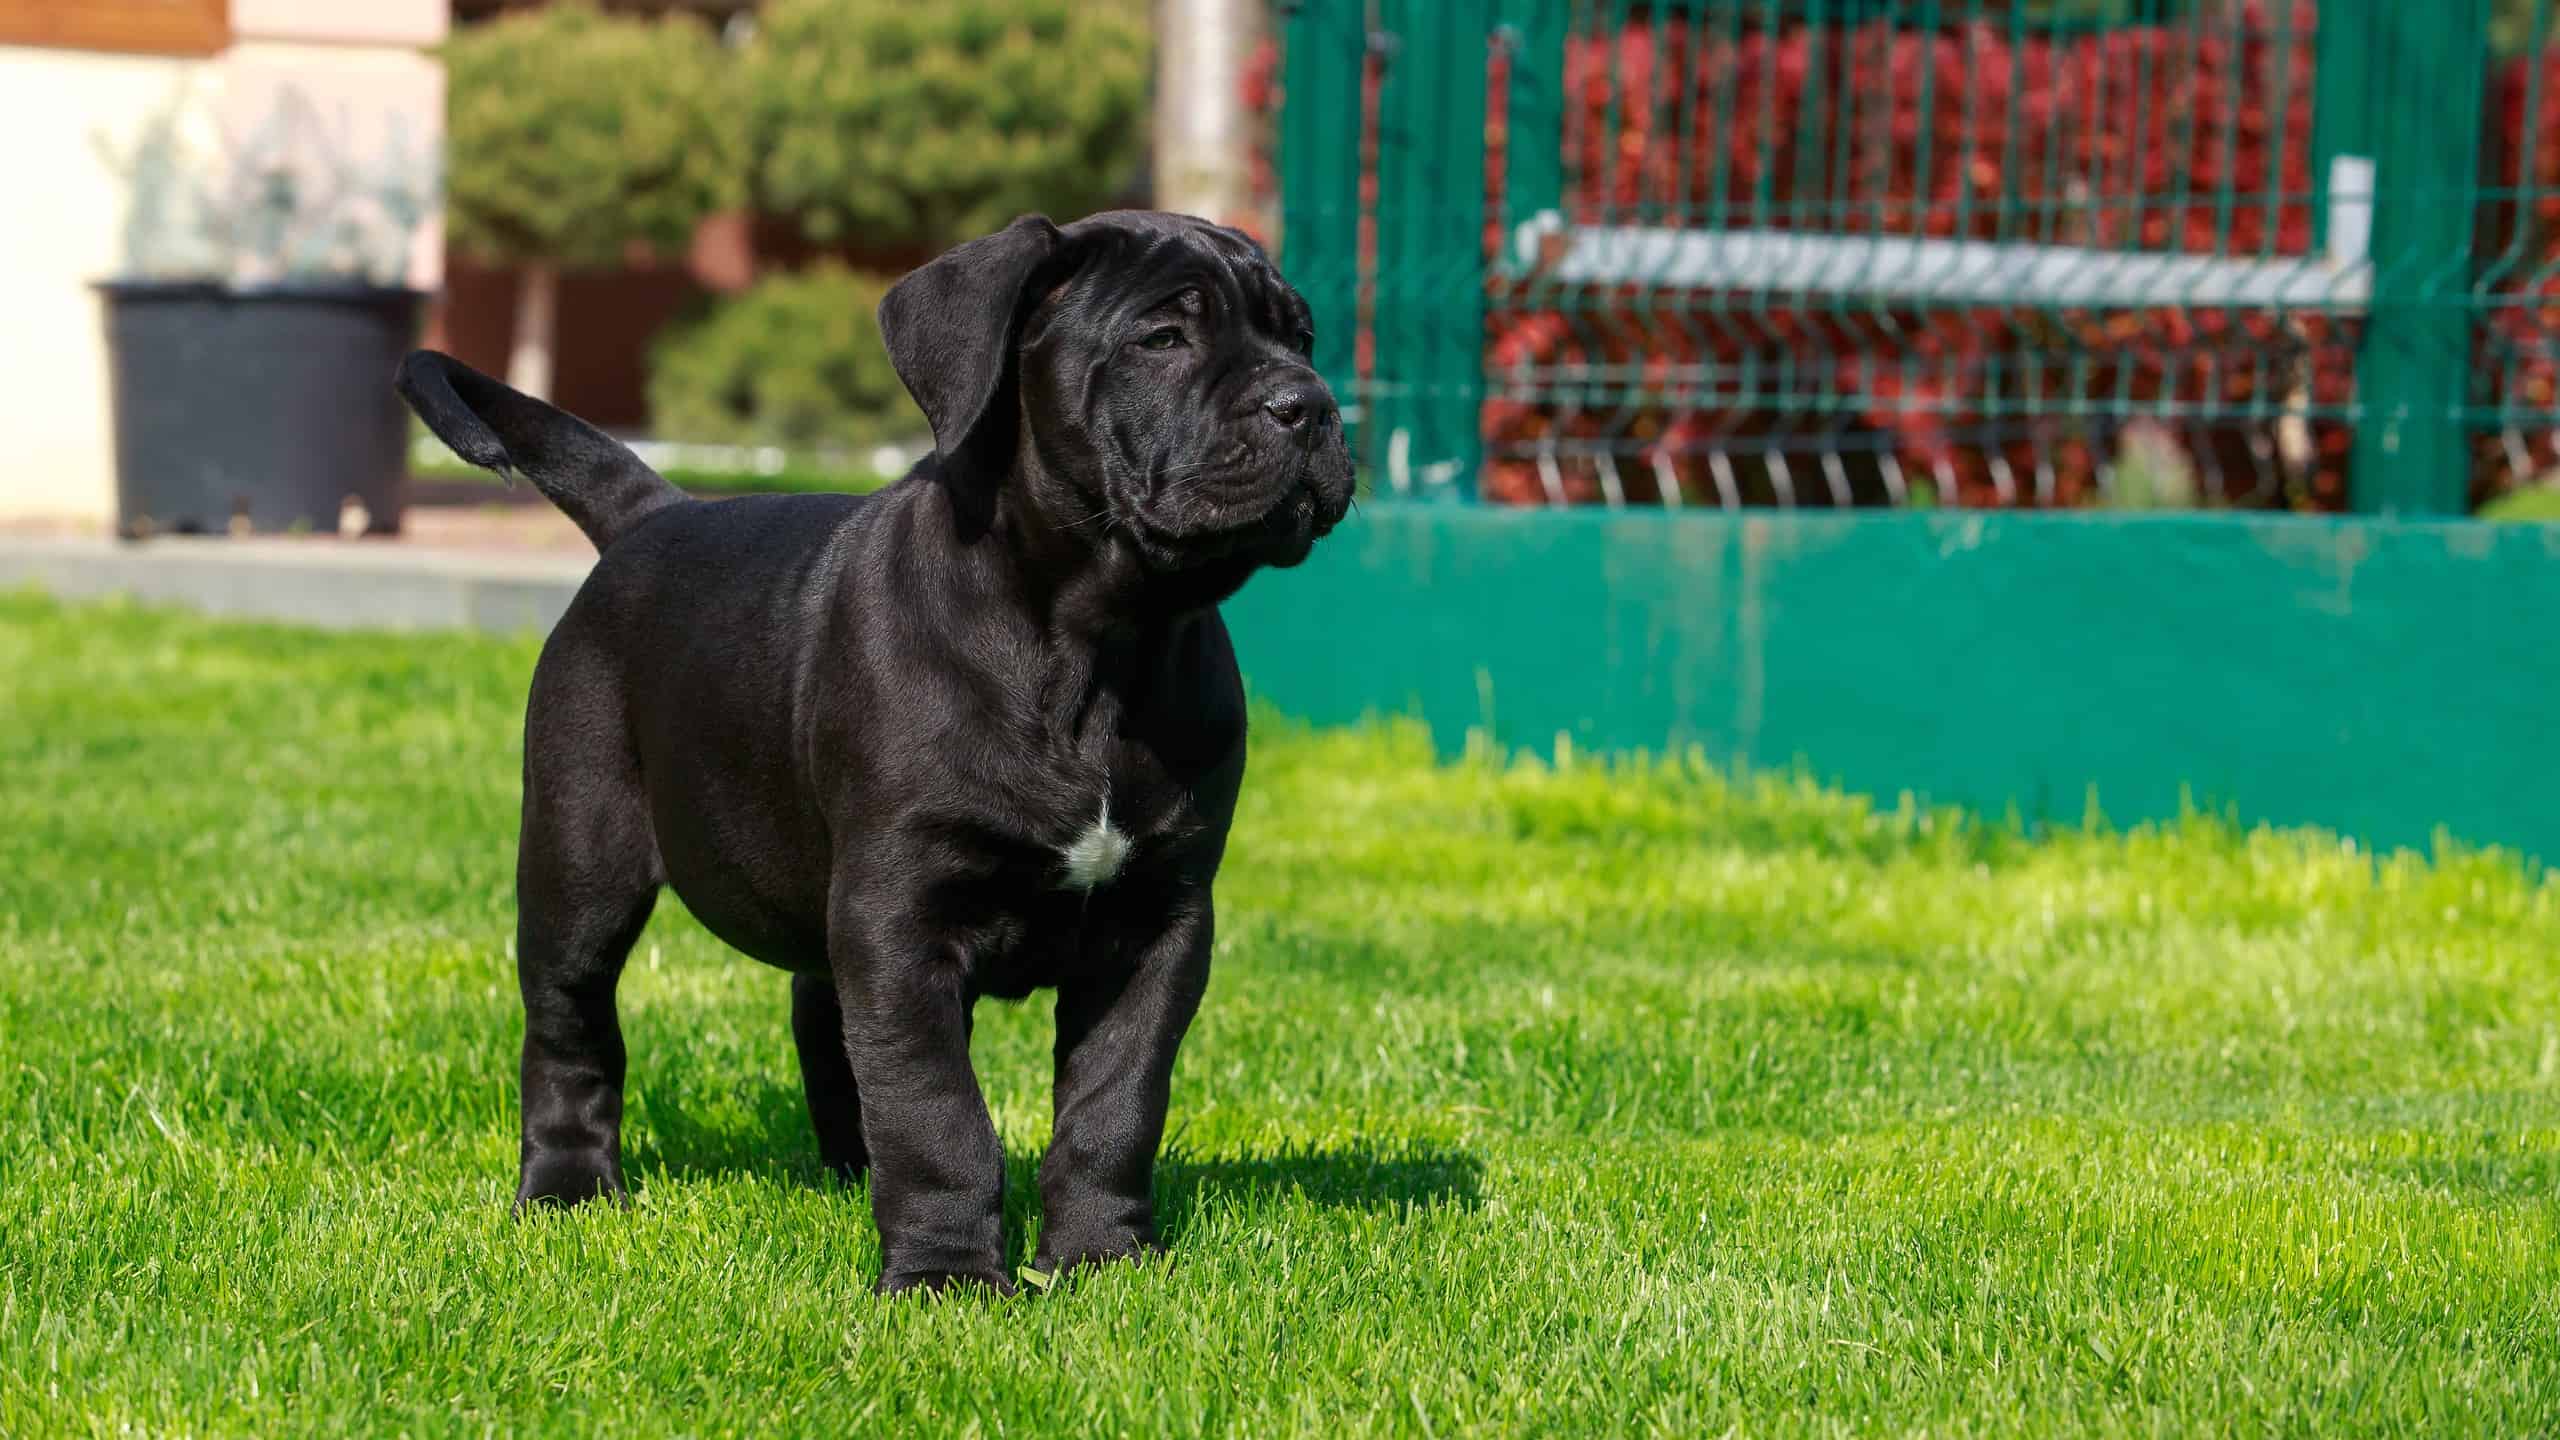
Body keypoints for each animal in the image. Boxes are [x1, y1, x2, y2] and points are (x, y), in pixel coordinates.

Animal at [394, 210, 1361, 1291]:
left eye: (1302, 339)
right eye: (1163, 339)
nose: (1310, 406)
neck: (1104, 642)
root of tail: (657, 513)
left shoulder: (1160, 919)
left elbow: (1116, 1101)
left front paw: (1102, 1259)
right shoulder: (903, 912)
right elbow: (937, 1109)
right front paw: (947, 1277)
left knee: (822, 1015)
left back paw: (848, 1169)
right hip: (579, 858)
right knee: (570, 1023)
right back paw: (567, 1190)